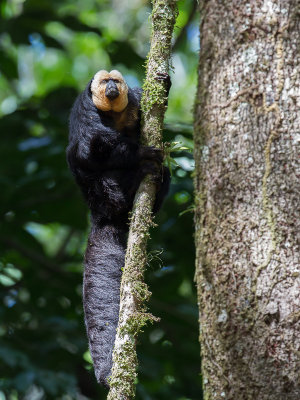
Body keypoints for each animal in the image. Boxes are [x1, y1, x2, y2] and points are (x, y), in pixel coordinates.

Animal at [67, 69, 171, 388]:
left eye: (116, 81)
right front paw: (140, 154)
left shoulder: (134, 102)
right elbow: (92, 147)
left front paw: (164, 85)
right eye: (105, 82)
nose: (112, 86)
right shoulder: (84, 109)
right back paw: (136, 177)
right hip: (102, 193)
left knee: (165, 173)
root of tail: (100, 214)